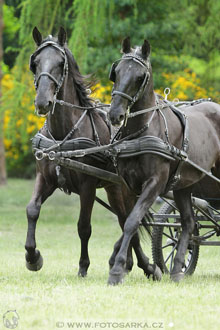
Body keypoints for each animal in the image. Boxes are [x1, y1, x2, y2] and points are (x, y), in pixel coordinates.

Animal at [25, 29, 161, 282]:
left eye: (60, 64)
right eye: (35, 63)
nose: (43, 102)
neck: (63, 136)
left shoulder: (87, 185)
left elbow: (84, 227)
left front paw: (83, 266)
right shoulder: (45, 179)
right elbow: (32, 210)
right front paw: (32, 257)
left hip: (120, 186)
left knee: (127, 220)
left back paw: (144, 265)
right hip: (114, 187)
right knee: (125, 219)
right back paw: (128, 263)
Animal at [108, 36, 220, 284]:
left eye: (140, 76)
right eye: (116, 72)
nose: (115, 114)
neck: (142, 131)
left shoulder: (155, 183)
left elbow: (132, 221)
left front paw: (118, 269)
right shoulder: (129, 186)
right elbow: (129, 222)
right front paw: (135, 264)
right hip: (184, 185)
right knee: (188, 222)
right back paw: (177, 268)